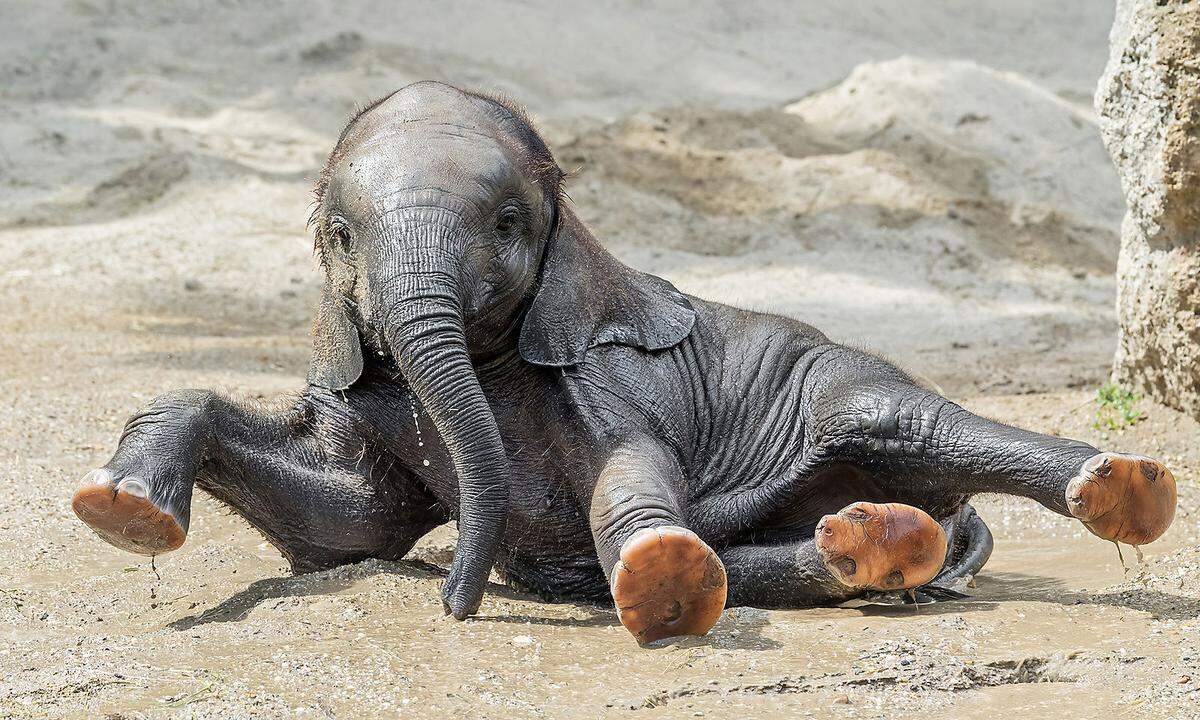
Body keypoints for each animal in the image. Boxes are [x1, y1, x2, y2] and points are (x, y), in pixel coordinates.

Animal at [68, 81, 1180, 643]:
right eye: (340, 236)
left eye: (509, 224)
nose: (456, 605)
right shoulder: (365, 387)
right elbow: (346, 523)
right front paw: (118, 508)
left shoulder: (603, 375)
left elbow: (629, 465)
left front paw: (654, 565)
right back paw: (873, 543)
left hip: (842, 383)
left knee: (902, 420)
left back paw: (1119, 486)